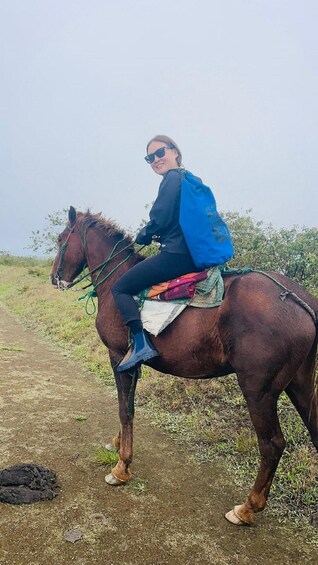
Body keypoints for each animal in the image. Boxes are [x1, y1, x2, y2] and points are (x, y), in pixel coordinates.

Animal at [51, 206, 316, 524]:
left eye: (61, 239)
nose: (54, 278)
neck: (117, 281)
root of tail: (300, 299)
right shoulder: (131, 364)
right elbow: (128, 406)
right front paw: (118, 443)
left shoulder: (118, 357)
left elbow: (124, 409)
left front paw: (122, 467)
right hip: (300, 386)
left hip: (259, 390)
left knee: (272, 444)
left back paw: (247, 508)